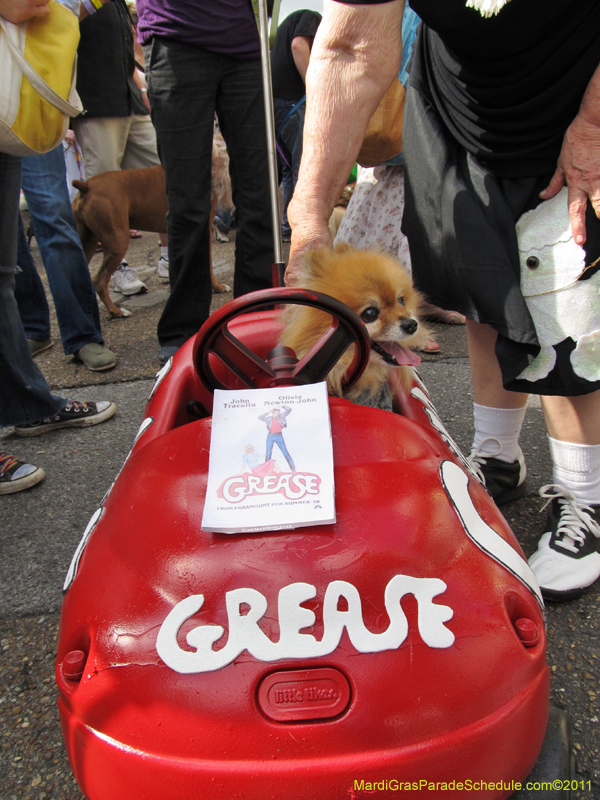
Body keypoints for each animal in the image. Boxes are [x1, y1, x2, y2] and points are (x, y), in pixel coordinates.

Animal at [73, 144, 234, 318]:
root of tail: (86, 186)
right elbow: (208, 265)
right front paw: (217, 287)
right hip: (117, 240)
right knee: (100, 281)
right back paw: (116, 311)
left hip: (87, 242)